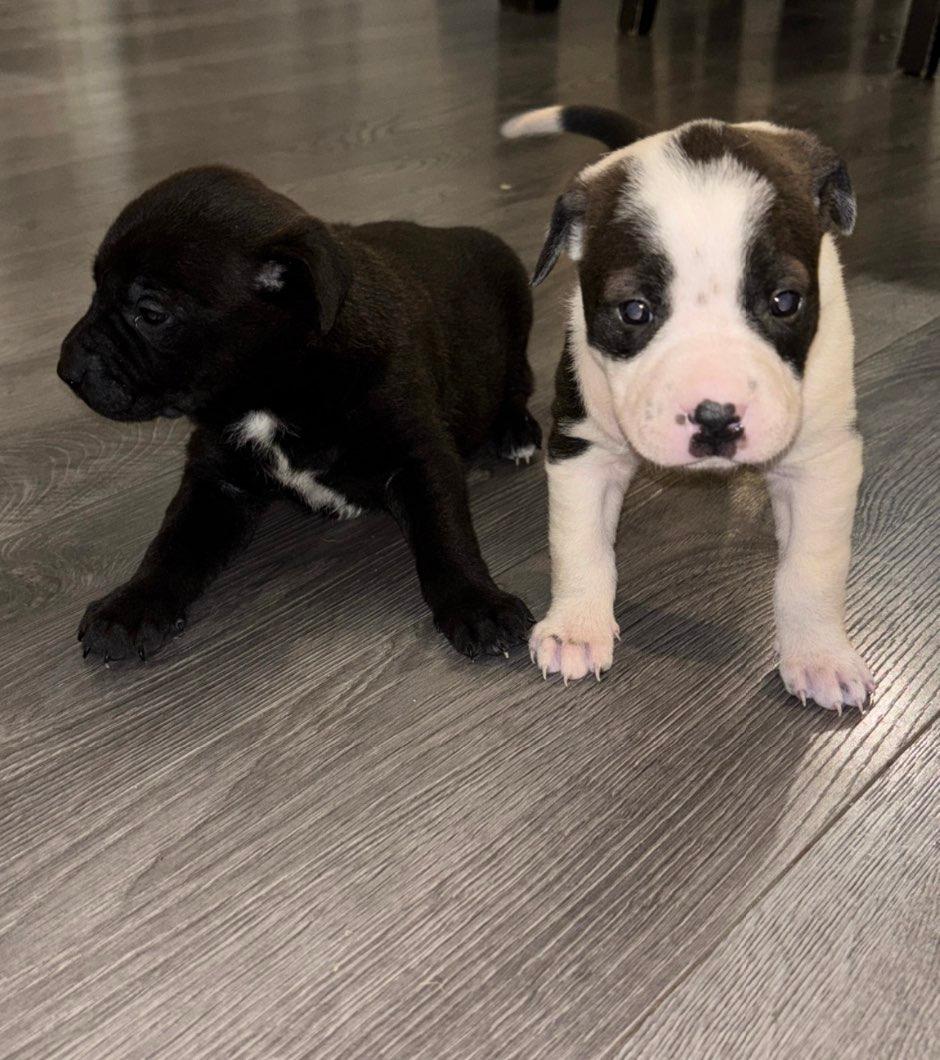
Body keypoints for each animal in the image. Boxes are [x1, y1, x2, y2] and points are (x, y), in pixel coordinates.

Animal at [58, 165, 540, 661]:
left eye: (151, 313)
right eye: (95, 289)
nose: (65, 370)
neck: (274, 387)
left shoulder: (421, 457)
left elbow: (445, 535)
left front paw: (477, 602)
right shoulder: (216, 481)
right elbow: (172, 542)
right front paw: (131, 605)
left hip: (517, 312)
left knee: (517, 383)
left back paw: (516, 432)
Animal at [504, 103, 877, 712]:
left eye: (786, 301)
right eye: (633, 310)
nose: (716, 417)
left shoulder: (824, 462)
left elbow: (812, 567)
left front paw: (821, 655)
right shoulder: (582, 448)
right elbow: (579, 543)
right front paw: (576, 627)